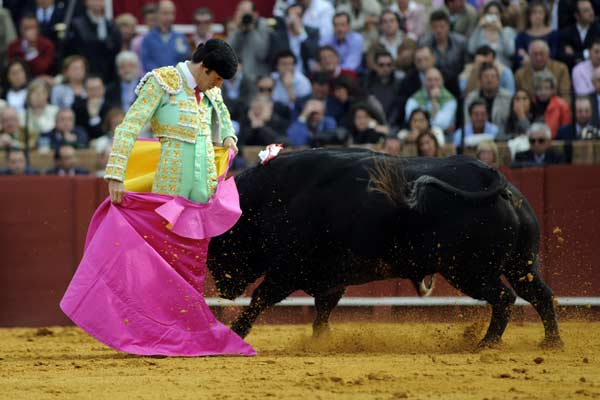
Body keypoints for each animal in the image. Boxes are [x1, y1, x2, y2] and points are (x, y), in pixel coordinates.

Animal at [206, 148, 564, 348]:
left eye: (219, 245)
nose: (223, 289)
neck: (276, 198)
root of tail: (493, 177)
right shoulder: (331, 277)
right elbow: (324, 308)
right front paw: (320, 340)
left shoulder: (288, 271)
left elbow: (260, 300)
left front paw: (234, 333)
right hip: (521, 263)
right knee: (540, 294)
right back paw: (551, 342)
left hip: (469, 271)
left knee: (504, 297)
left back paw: (486, 343)